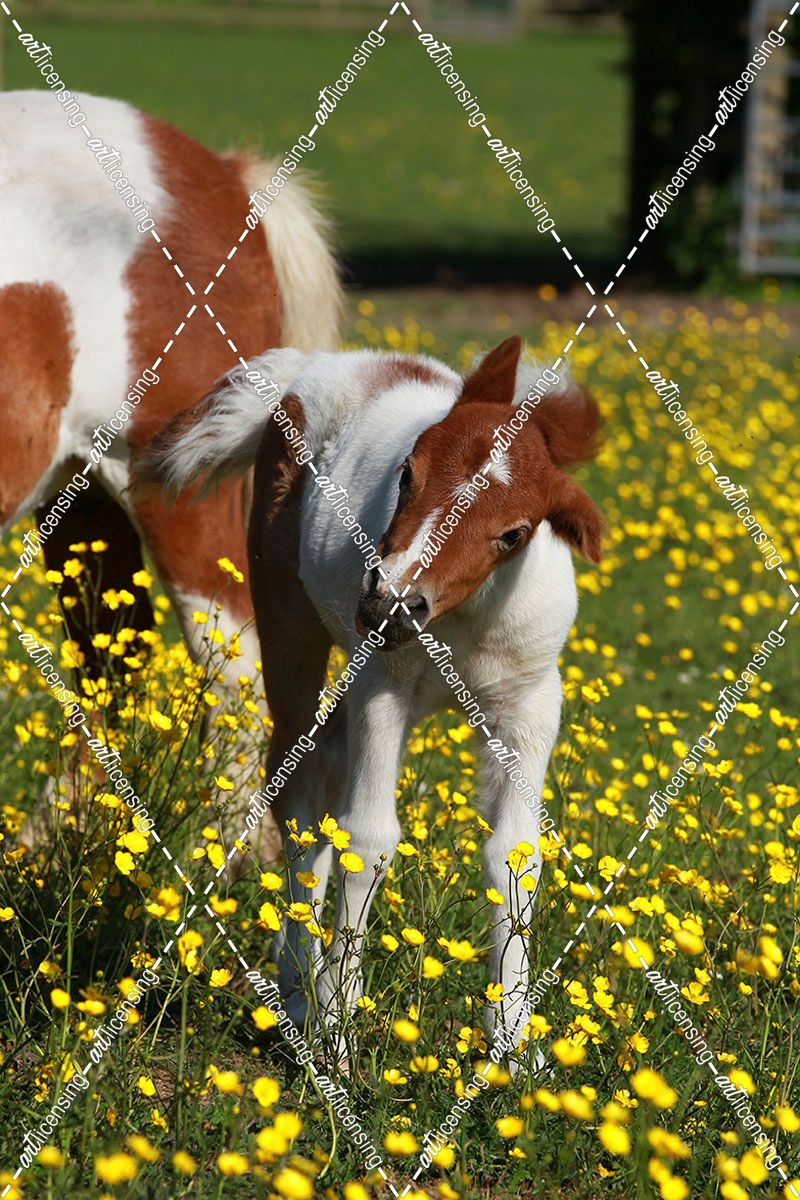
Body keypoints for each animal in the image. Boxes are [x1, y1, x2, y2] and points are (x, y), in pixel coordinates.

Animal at [0, 89, 342, 846]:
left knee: (232, 660)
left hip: (171, 484)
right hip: (81, 499)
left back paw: (228, 854)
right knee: (109, 659)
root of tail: (222, 175)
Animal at [135, 334, 602, 1054]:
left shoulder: (528, 708)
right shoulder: (385, 686)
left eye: (514, 533)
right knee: (297, 787)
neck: (468, 618)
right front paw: (336, 1030)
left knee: (324, 760)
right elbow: (371, 836)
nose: (390, 601)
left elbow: (515, 858)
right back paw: (301, 993)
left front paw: (513, 1047)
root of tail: (313, 364)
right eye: (408, 473)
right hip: (291, 622)